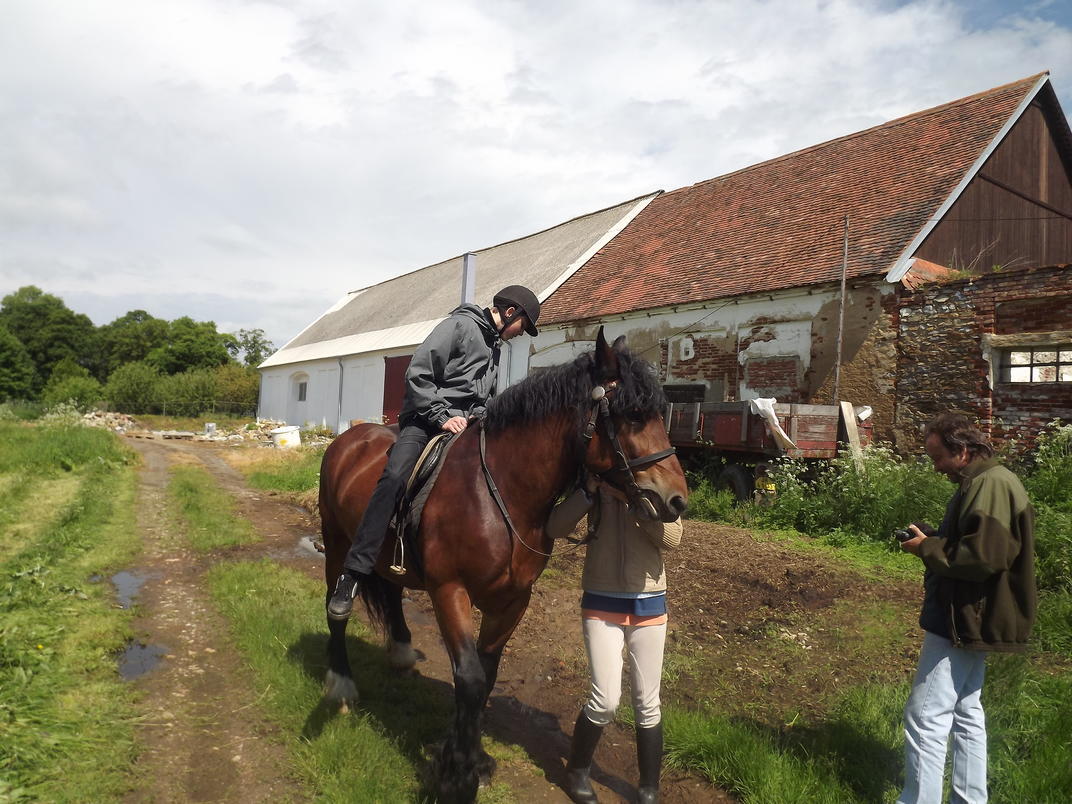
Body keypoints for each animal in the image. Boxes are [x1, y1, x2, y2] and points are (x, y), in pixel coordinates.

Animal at [318, 326, 688, 802]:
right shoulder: (450, 590)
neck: (501, 492)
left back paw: (400, 651)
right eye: (634, 416)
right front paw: (457, 777)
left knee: (394, 594)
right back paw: (341, 681)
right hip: (337, 541)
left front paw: (472, 757)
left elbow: (486, 676)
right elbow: (470, 678)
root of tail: (351, 439)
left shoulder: (513, 600)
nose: (676, 500)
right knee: (336, 607)